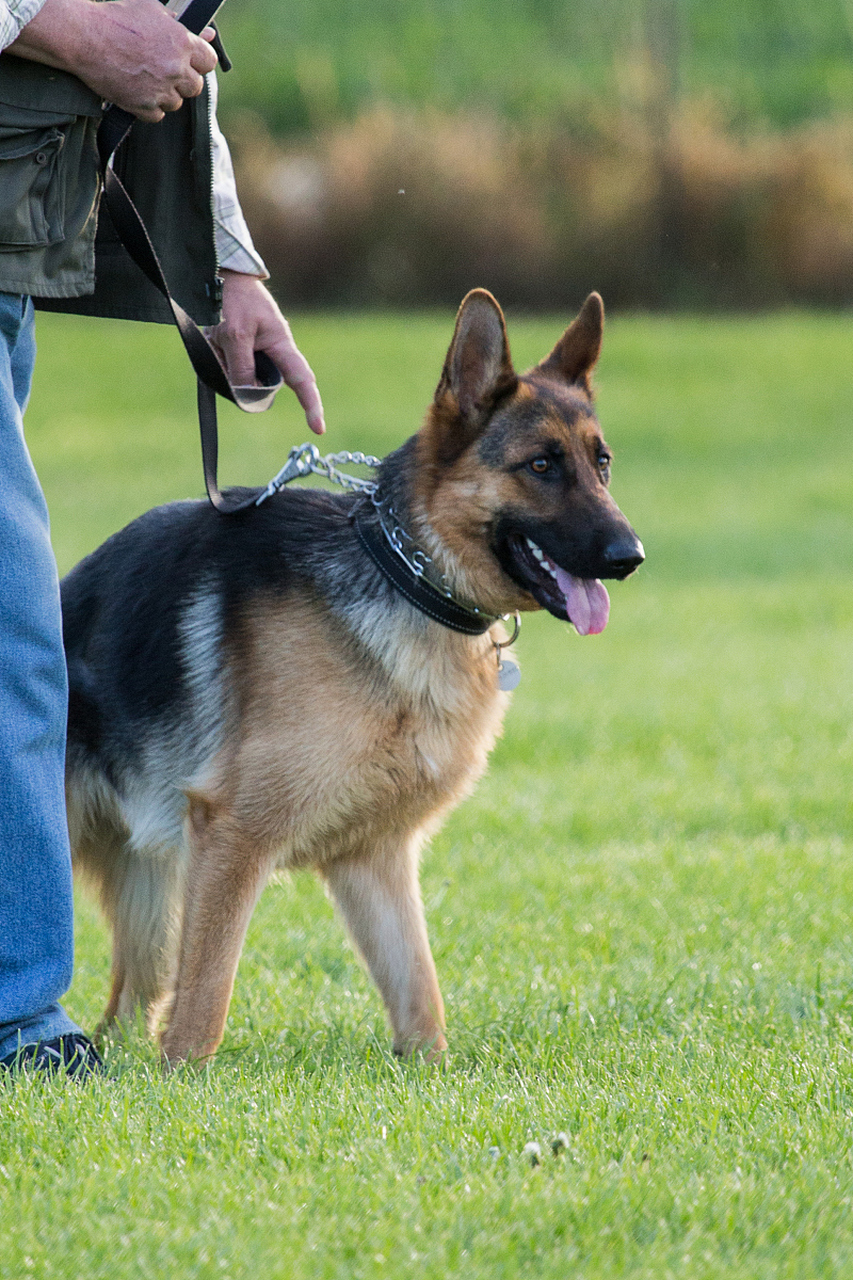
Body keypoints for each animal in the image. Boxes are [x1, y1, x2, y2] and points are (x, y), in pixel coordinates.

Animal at [64, 288, 637, 1059]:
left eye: (600, 463)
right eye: (541, 466)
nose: (629, 555)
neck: (408, 579)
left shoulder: (375, 859)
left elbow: (421, 997)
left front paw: (433, 1074)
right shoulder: (233, 836)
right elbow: (205, 1002)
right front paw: (185, 1079)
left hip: (152, 897)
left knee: (126, 1012)